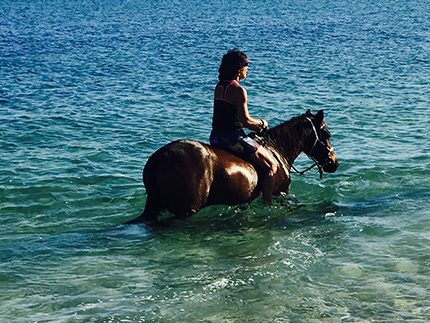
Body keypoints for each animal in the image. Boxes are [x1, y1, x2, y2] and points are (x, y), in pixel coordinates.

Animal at [129, 110, 338, 224]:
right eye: (327, 133)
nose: (334, 163)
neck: (277, 149)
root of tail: (158, 157)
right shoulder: (281, 193)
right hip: (186, 209)